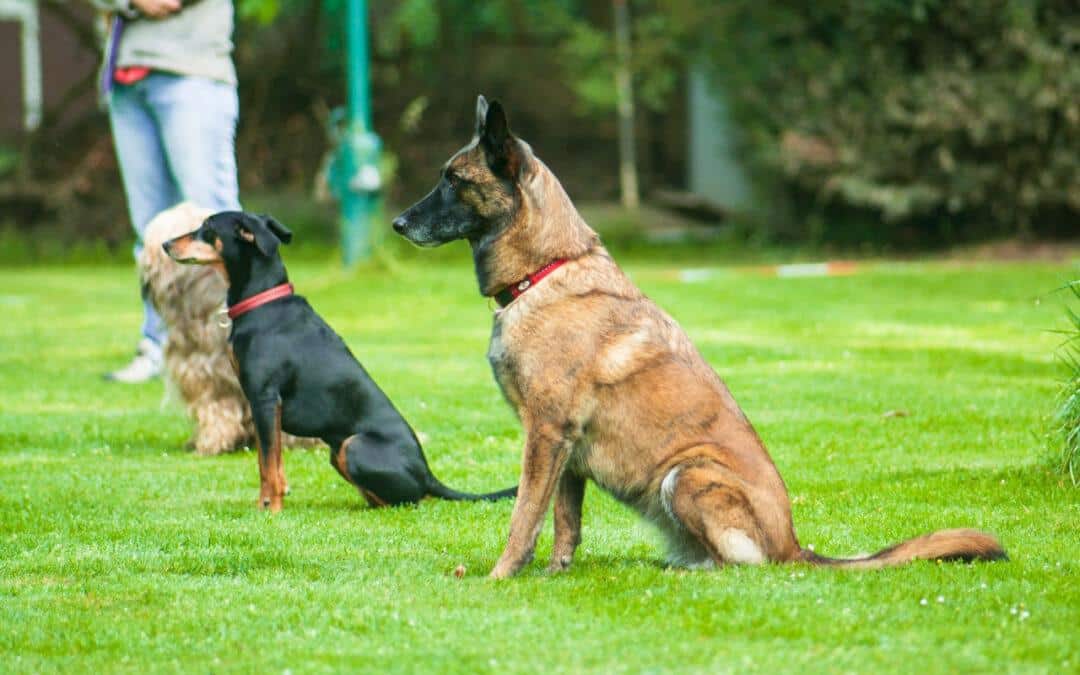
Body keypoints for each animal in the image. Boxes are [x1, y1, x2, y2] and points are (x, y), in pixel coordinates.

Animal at [163, 210, 514, 509]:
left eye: (207, 227)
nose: (166, 244)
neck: (263, 303)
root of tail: (429, 475)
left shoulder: (264, 400)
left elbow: (269, 466)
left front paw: (270, 510)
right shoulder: (262, 408)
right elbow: (269, 462)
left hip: (353, 446)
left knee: (409, 502)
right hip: (338, 453)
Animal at [390, 96, 1002, 578]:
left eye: (454, 181)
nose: (397, 224)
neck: (546, 270)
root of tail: (795, 546)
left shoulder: (545, 435)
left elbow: (524, 518)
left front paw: (499, 577)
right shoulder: (565, 450)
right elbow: (564, 522)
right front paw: (554, 574)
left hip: (687, 475)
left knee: (742, 565)